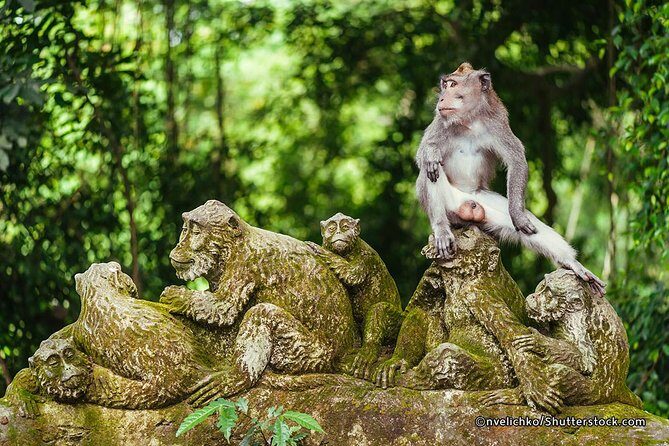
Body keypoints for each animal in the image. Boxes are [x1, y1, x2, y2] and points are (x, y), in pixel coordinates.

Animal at [415, 62, 606, 296]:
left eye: (453, 85)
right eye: (445, 85)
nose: (442, 98)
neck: (469, 121)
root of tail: (466, 202)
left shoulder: (498, 123)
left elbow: (517, 161)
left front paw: (518, 217)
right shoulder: (440, 122)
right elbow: (422, 155)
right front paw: (431, 152)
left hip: (484, 206)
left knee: (528, 224)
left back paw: (571, 263)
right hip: (449, 206)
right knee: (430, 171)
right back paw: (441, 229)